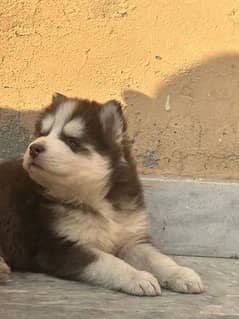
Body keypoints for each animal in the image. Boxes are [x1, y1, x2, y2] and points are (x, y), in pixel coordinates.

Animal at [0, 94, 204, 298]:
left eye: (72, 142)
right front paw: (138, 277)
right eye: (42, 134)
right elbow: (109, 262)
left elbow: (157, 258)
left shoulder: (131, 239)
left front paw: (181, 273)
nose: (34, 148)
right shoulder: (59, 246)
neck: (97, 199)